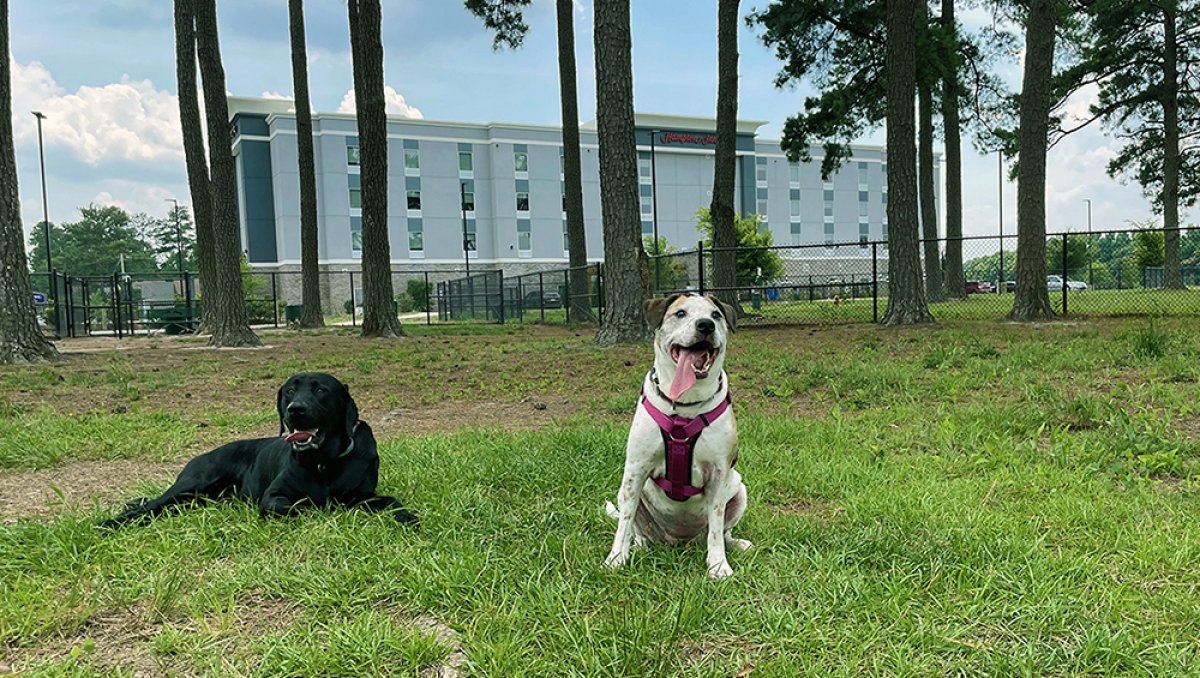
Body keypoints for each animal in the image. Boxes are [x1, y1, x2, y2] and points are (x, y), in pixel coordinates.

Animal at [99, 372, 417, 525]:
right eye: (290, 390)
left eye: (320, 390)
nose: (295, 409)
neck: (323, 461)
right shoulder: (274, 496)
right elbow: (296, 506)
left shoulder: (363, 495)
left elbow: (392, 502)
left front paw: (408, 518)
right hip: (192, 483)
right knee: (151, 505)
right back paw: (111, 523)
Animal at [609, 290, 748, 576]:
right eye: (680, 313)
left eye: (716, 315)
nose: (706, 325)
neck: (684, 405)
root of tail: (679, 540)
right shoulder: (635, 469)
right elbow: (624, 522)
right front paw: (616, 559)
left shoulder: (719, 472)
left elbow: (716, 525)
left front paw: (718, 565)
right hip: (627, 492)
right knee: (637, 528)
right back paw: (639, 545)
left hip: (739, 488)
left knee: (722, 531)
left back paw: (735, 544)